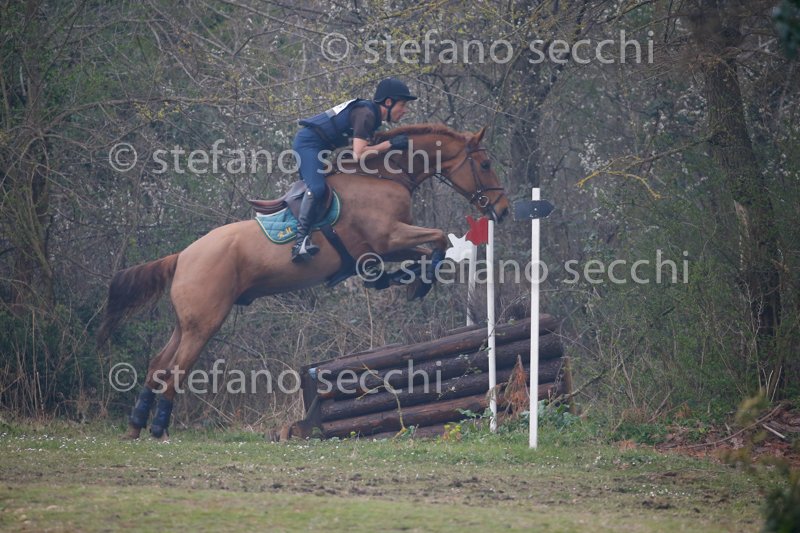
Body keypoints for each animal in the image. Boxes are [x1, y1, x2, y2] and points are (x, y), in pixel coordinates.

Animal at [98, 123, 510, 439]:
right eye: (486, 163)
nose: (503, 211)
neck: (382, 176)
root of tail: (182, 256)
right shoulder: (388, 238)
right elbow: (438, 239)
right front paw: (416, 282)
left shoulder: (384, 247)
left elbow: (427, 250)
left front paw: (405, 280)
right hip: (205, 322)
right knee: (176, 371)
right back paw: (158, 430)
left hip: (186, 323)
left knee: (159, 364)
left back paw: (136, 426)